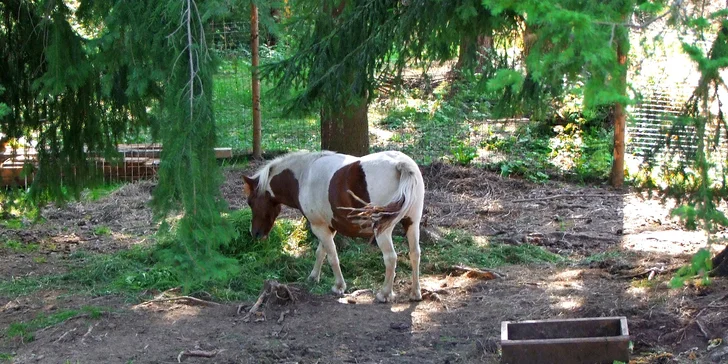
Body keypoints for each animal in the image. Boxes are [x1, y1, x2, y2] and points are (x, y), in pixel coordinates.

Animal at [245, 149, 426, 302]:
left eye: (250, 202)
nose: (255, 233)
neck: (304, 176)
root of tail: (400, 164)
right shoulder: (328, 227)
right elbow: (321, 252)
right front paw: (313, 277)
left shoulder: (318, 226)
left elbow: (332, 257)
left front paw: (339, 286)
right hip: (412, 223)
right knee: (415, 254)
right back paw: (415, 293)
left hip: (382, 230)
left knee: (390, 258)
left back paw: (385, 294)